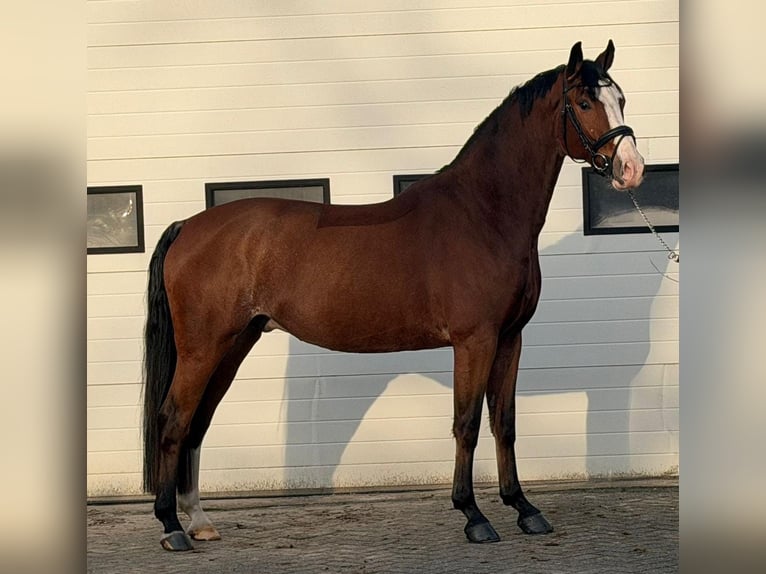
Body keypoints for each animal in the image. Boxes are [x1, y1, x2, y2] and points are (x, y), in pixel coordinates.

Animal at [142, 40, 645, 551]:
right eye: (583, 102)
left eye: (620, 99)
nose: (632, 169)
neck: (483, 214)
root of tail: (188, 226)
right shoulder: (474, 341)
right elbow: (466, 424)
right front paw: (473, 515)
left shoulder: (510, 338)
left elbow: (504, 423)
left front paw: (524, 508)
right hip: (203, 347)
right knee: (172, 419)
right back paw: (171, 526)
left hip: (234, 344)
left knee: (198, 422)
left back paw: (198, 520)